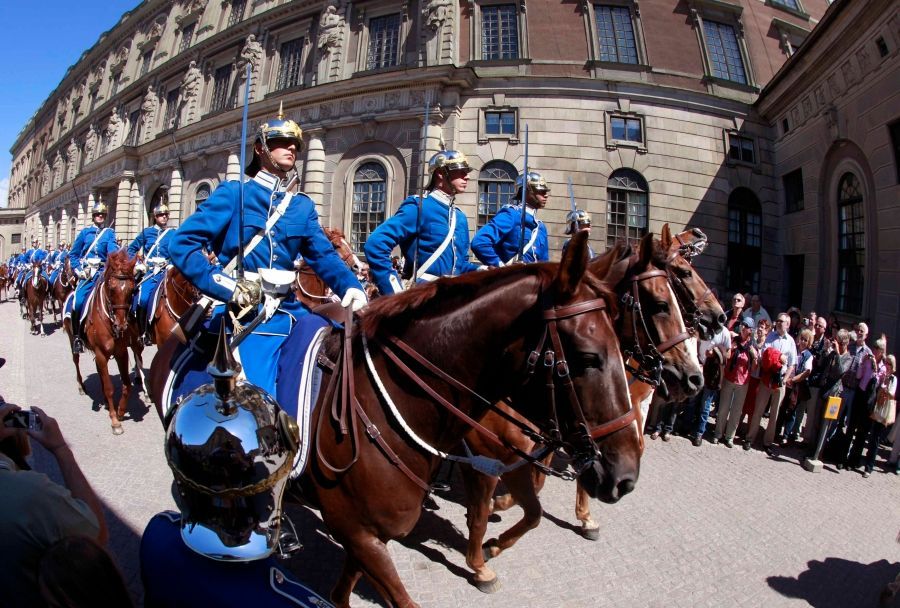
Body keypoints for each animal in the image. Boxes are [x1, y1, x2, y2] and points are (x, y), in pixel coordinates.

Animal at [64, 249, 144, 434]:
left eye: (132, 290)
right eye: (112, 288)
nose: (121, 325)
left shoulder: (121, 353)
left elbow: (127, 385)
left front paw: (120, 411)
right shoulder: (101, 353)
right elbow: (109, 388)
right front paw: (115, 422)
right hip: (73, 341)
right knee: (76, 361)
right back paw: (81, 386)